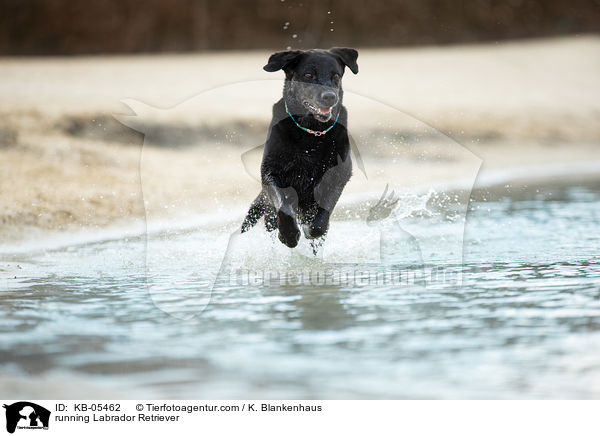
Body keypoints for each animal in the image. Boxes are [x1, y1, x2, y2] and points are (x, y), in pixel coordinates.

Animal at [240, 47, 358, 249]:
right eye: (309, 75)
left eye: (335, 76)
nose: (329, 96)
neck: (311, 133)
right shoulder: (271, 172)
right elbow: (282, 204)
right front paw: (288, 235)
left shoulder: (339, 174)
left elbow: (323, 213)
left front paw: (313, 229)